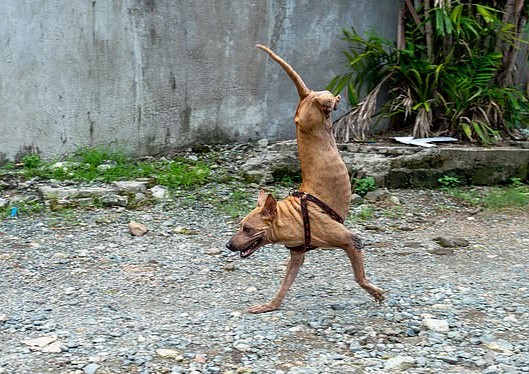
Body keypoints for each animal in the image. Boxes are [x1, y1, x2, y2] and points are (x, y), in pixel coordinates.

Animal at [226, 44, 384, 312]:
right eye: (240, 226)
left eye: (247, 229)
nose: (228, 245)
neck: (292, 218)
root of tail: (305, 96)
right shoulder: (297, 256)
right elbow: (284, 286)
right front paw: (270, 305)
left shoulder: (351, 240)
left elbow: (358, 276)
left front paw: (374, 291)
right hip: (308, 115)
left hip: (315, 109)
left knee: (326, 97)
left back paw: (335, 101)